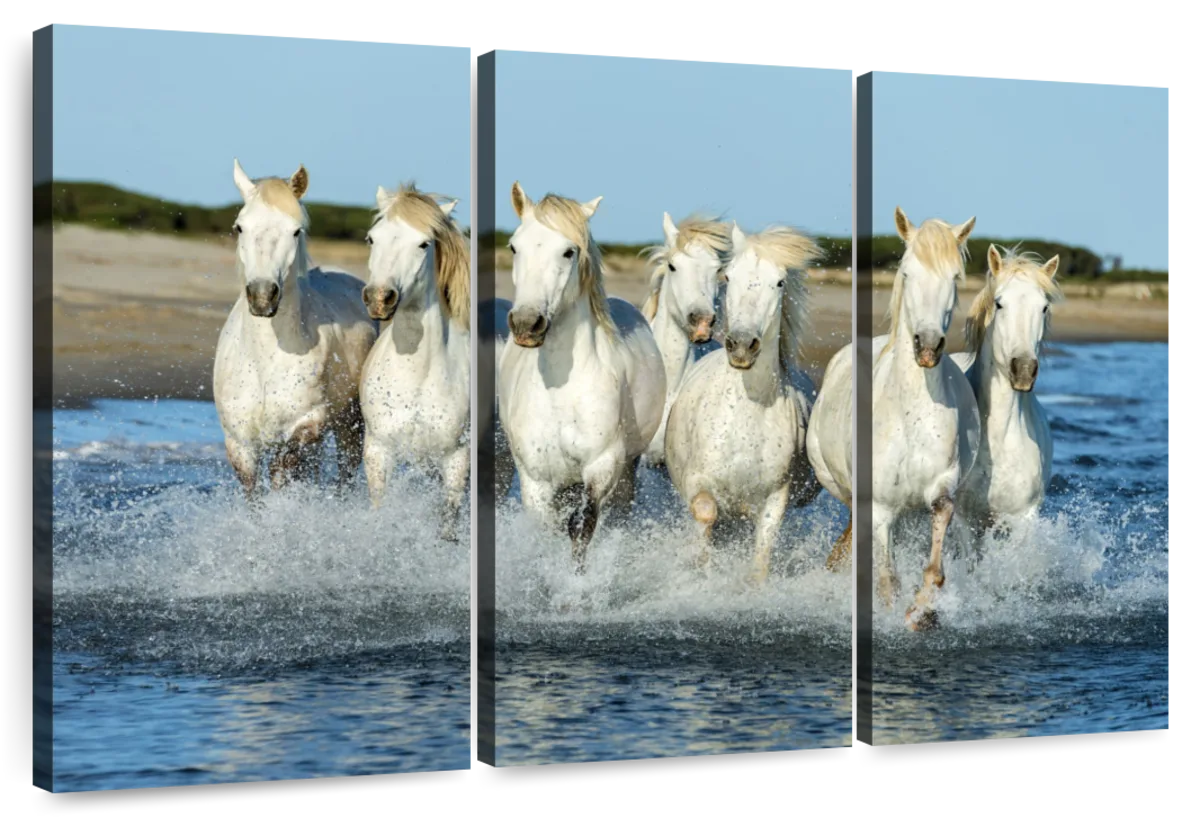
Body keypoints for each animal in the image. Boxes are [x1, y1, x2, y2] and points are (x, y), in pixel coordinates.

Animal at [213, 158, 378, 499]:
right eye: (240, 227)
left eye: (295, 230)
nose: (263, 296)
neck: (264, 361)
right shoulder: (239, 445)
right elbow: (254, 495)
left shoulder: (307, 424)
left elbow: (282, 471)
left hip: (349, 425)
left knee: (345, 472)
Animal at [358, 182, 472, 541]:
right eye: (371, 238)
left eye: (423, 244)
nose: (379, 299)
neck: (416, 377)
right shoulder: (379, 450)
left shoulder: (456, 459)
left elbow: (447, 525)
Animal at [497, 182, 667, 573]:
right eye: (514, 246)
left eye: (568, 251)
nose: (526, 323)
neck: (561, 390)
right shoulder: (536, 479)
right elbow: (549, 530)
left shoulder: (602, 466)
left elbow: (582, 526)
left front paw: (576, 582)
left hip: (626, 468)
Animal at [664, 222, 824, 585]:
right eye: (728, 276)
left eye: (779, 282)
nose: (740, 345)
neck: (745, 414)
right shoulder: (697, 483)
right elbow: (705, 513)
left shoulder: (775, 499)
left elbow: (761, 557)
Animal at [867, 206, 980, 631]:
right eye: (906, 273)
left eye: (955, 278)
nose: (928, 347)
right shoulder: (879, 505)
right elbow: (886, 578)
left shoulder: (942, 482)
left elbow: (941, 524)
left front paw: (923, 608)